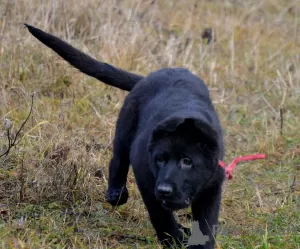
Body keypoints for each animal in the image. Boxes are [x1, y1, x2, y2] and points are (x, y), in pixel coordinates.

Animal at [25, 23, 225, 249]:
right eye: (160, 159)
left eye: (187, 161)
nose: (164, 190)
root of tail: (146, 78)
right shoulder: (147, 183)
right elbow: (162, 220)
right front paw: (175, 240)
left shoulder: (212, 188)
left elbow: (206, 225)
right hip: (124, 130)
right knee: (118, 160)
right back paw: (116, 193)